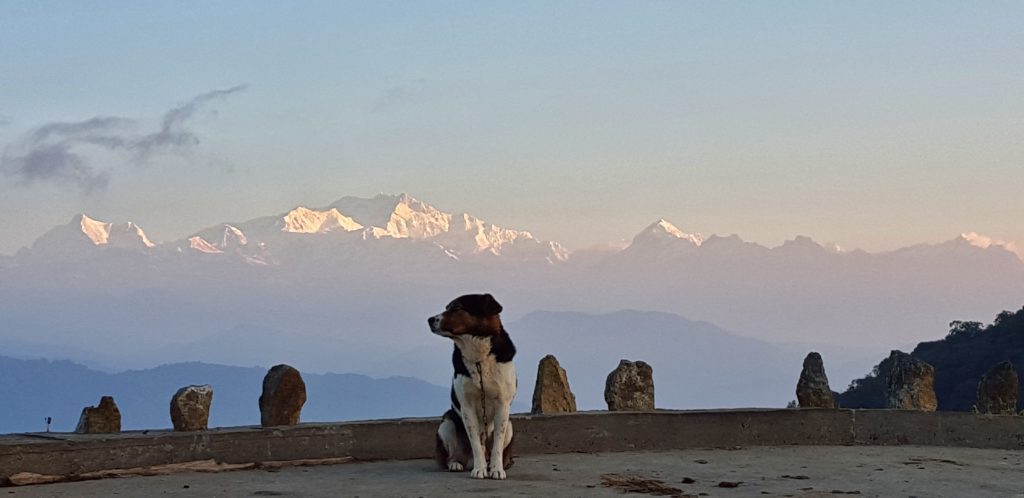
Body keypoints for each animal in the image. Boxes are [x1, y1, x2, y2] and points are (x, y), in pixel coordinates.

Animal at [428, 293, 516, 479]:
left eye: (456, 307)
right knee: (452, 456)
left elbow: (497, 443)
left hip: (510, 425)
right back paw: (456, 463)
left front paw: (496, 469)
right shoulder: (467, 406)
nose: (430, 319)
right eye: (447, 307)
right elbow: (476, 442)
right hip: (446, 424)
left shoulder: (502, 405)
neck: (479, 358)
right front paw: (480, 469)